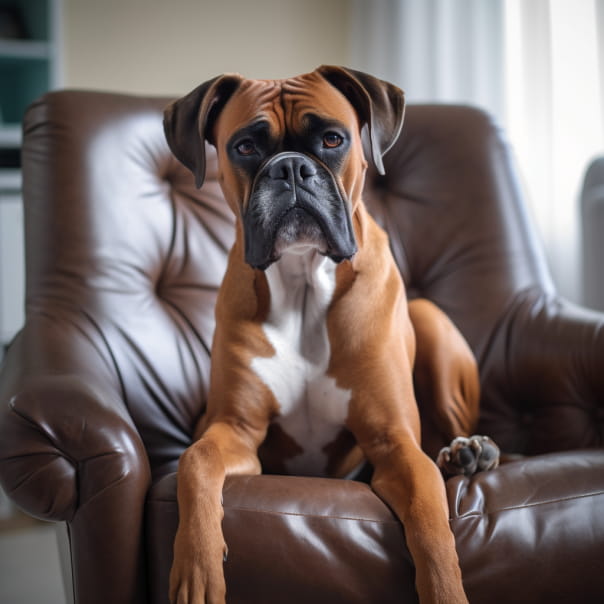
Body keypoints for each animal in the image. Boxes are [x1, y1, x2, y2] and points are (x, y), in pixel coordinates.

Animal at [163, 66, 498, 604]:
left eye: (332, 139)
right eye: (245, 147)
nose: (290, 169)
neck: (303, 281)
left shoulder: (394, 444)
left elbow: (429, 522)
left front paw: (446, 588)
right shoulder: (234, 432)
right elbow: (194, 463)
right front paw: (197, 570)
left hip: (428, 319)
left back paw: (471, 453)